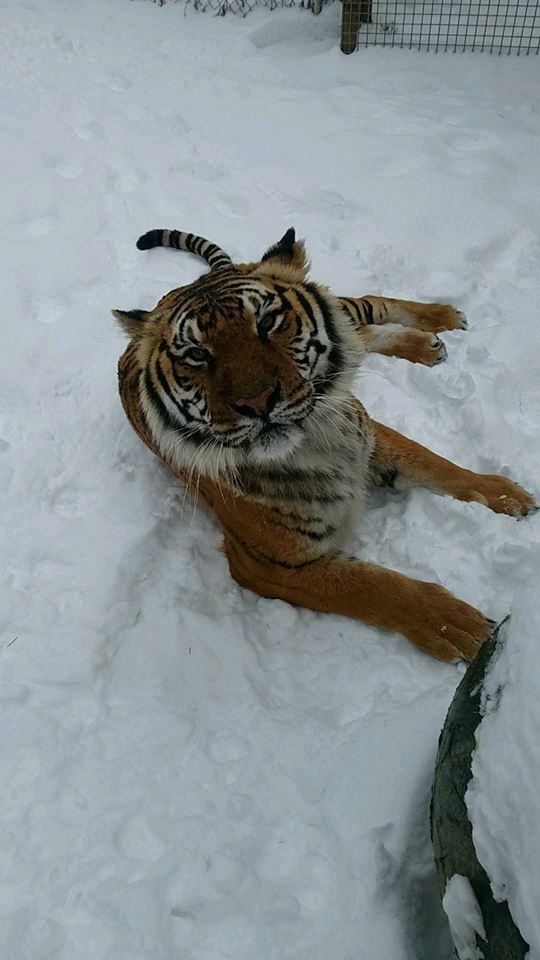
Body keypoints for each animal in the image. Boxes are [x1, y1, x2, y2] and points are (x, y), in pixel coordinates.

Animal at [114, 227, 536, 663]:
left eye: (267, 321)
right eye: (197, 354)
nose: (257, 402)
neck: (310, 443)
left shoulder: (367, 433)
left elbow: (433, 462)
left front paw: (504, 493)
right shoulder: (269, 565)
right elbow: (376, 588)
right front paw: (461, 627)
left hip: (347, 306)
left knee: (369, 306)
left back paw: (443, 319)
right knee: (364, 335)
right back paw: (427, 344)